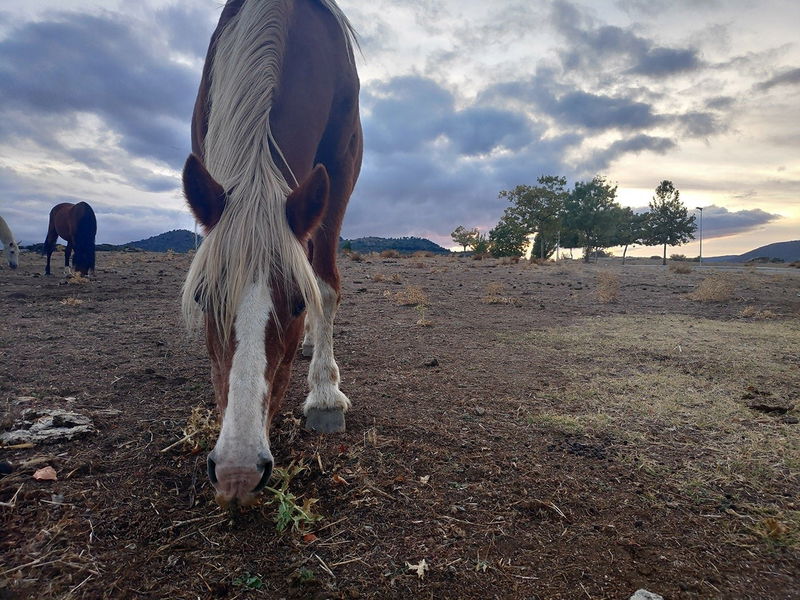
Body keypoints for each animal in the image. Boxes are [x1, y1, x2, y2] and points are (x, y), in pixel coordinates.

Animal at [183, 0, 360, 506]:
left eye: (298, 303)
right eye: (202, 298)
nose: (237, 473)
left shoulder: (343, 165)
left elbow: (326, 285)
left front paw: (325, 394)